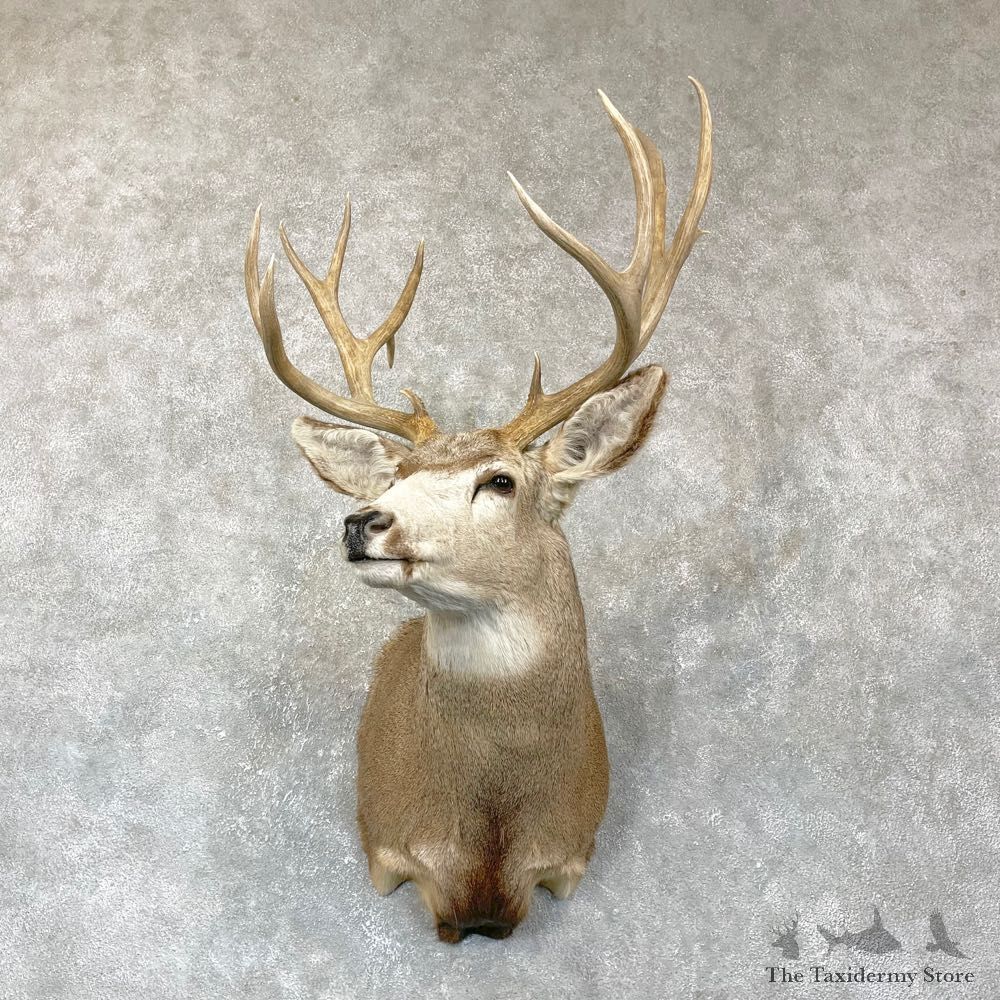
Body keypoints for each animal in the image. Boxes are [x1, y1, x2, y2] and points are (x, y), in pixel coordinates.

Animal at [244, 80, 712, 942]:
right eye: (396, 473)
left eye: (499, 482)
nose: (363, 520)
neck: (490, 839)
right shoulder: (387, 847)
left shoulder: (572, 856)